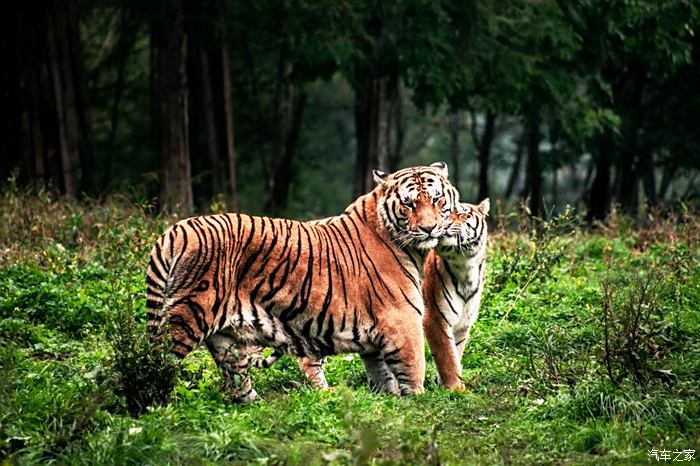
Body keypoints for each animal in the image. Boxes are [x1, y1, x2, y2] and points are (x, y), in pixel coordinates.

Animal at [145, 163, 460, 400]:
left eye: (437, 200)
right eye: (409, 204)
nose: (429, 228)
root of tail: (174, 230)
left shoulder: (375, 341)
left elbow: (384, 375)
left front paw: (391, 399)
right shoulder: (402, 319)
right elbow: (414, 367)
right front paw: (417, 401)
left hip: (225, 340)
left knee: (237, 382)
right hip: (187, 318)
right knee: (157, 363)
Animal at [422, 197, 492, 390]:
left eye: (463, 214)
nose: (444, 224)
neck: (465, 265)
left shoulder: (463, 323)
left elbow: (456, 352)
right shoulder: (435, 317)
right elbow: (446, 354)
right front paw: (455, 388)